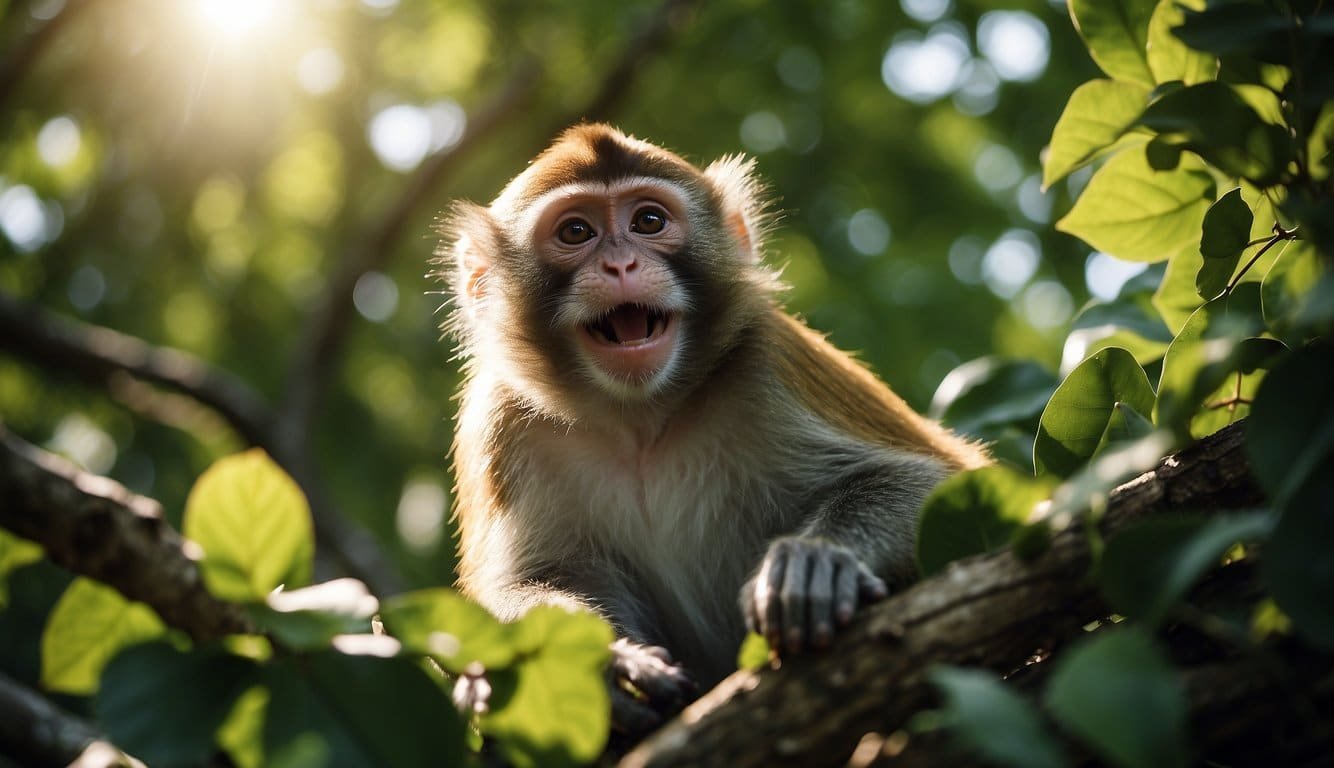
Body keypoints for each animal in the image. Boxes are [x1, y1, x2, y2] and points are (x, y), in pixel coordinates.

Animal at [434, 122, 981, 736]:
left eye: (649, 221)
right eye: (576, 231)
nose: (620, 266)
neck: (640, 419)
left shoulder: (768, 358)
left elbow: (938, 481)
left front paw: (815, 562)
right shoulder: (499, 420)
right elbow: (514, 588)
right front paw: (601, 663)